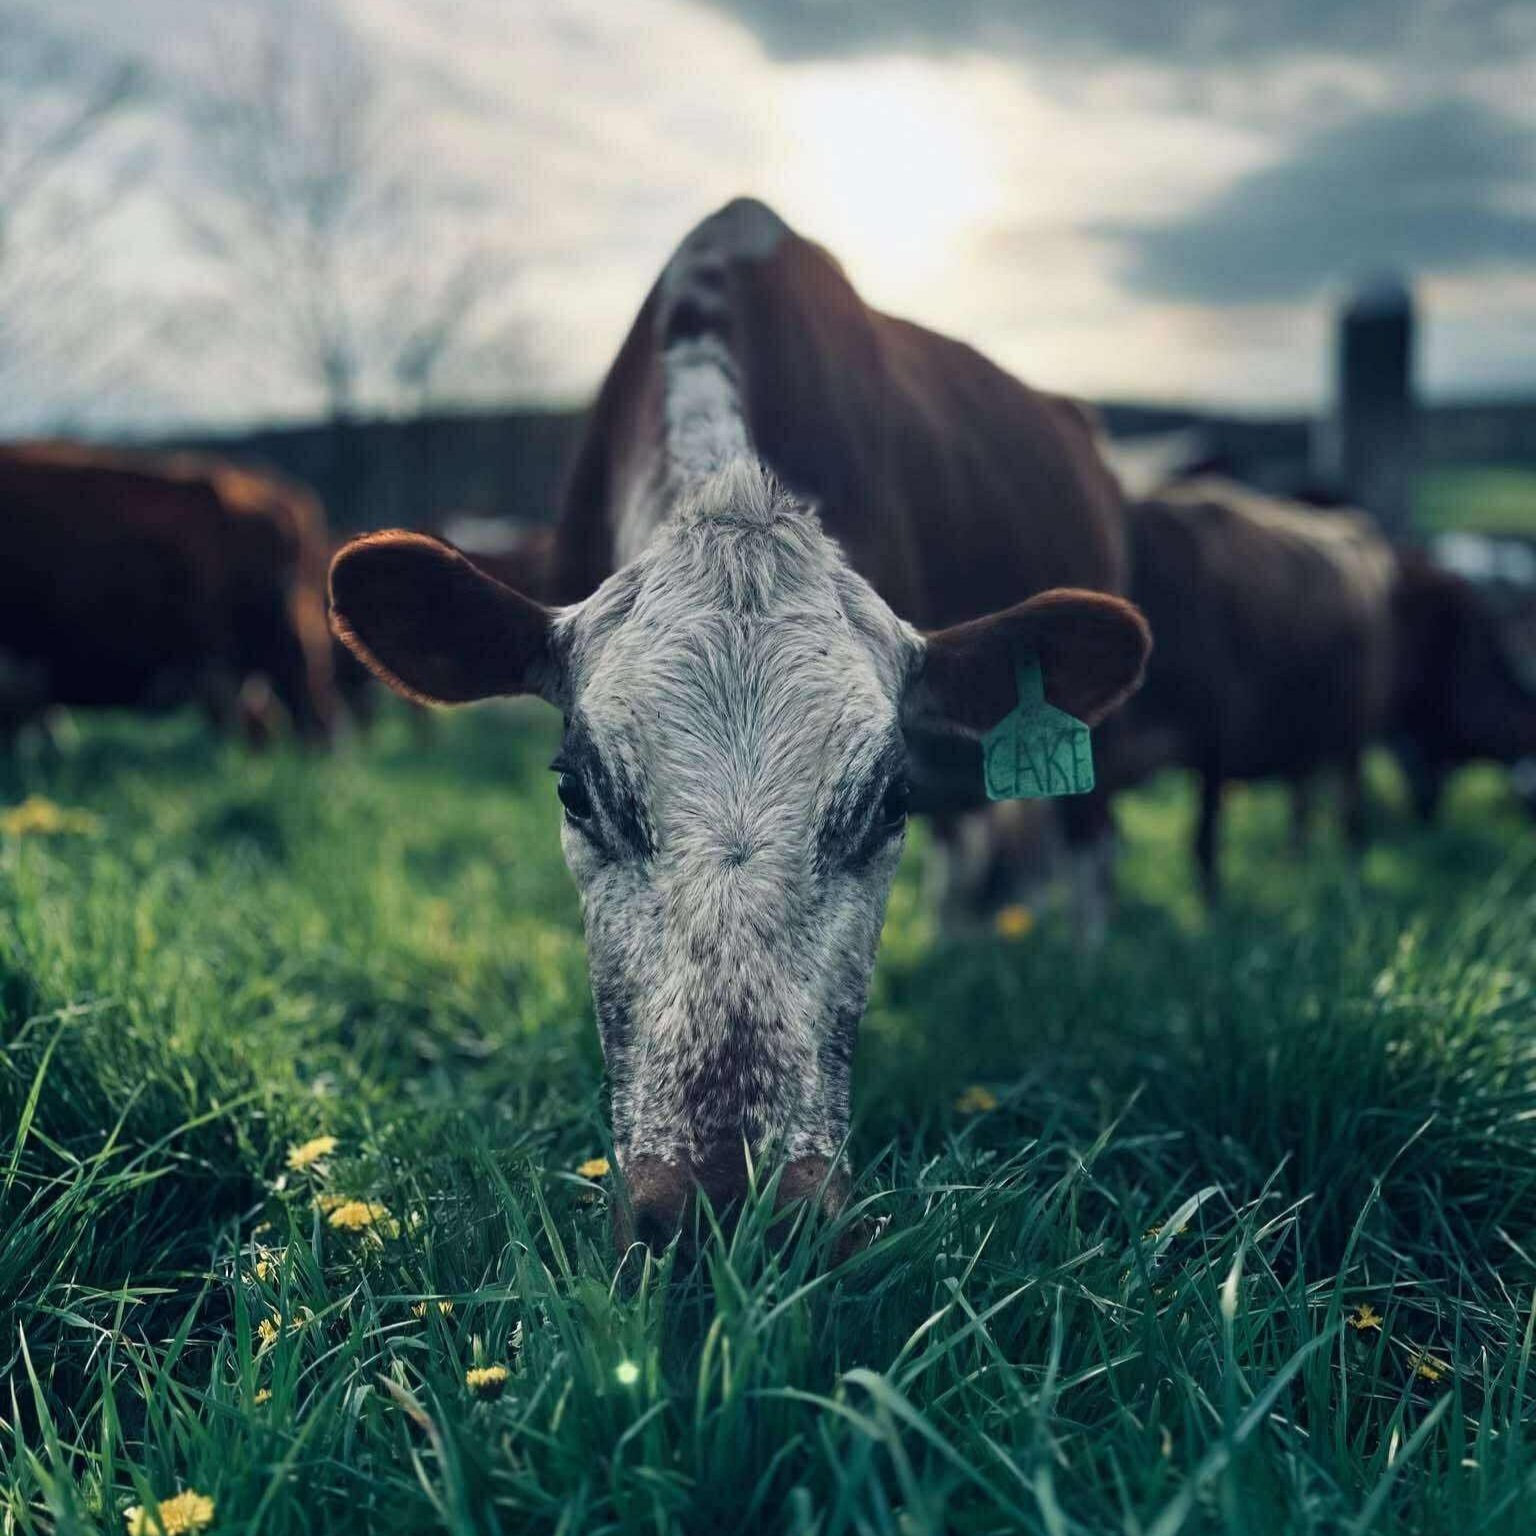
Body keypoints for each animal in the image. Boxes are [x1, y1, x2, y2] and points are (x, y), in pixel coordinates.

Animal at [1111, 476, 1396, 897]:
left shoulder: (1214, 736)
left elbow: (1204, 842)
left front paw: (1213, 907)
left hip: (1355, 728)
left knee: (1351, 808)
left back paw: (1350, 874)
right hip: (1304, 738)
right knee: (1301, 802)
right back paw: (1297, 867)